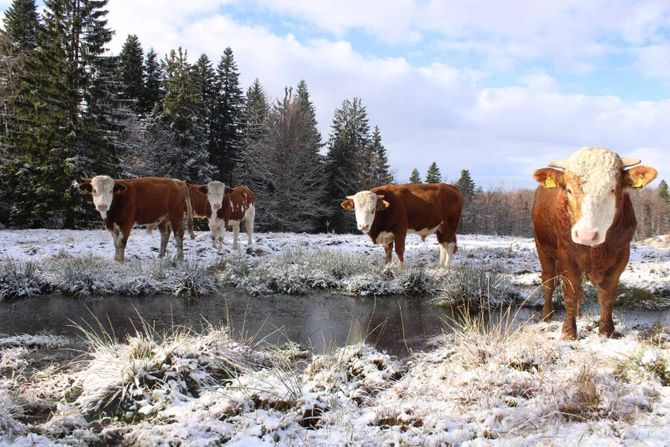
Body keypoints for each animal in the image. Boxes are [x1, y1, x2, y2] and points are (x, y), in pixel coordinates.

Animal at [536, 147, 660, 340]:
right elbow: (570, 294)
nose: (586, 235)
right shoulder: (566, 257)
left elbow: (607, 296)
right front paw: (568, 333)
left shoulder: (621, 256)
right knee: (549, 282)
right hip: (543, 248)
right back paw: (546, 316)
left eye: (612, 189)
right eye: (569, 190)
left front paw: (606, 331)